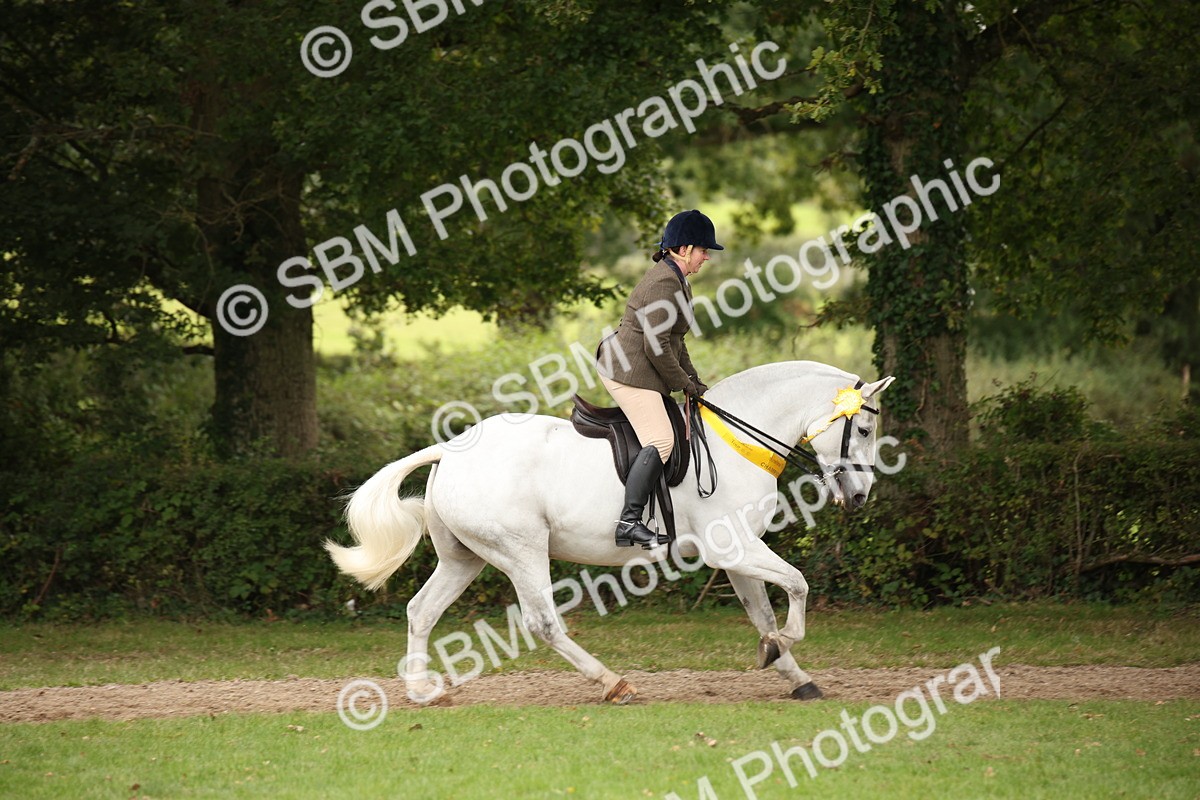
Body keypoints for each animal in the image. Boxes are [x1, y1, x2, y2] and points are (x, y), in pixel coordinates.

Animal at [325, 360, 895, 704]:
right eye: (865, 429)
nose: (859, 497)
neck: (736, 440)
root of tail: (451, 448)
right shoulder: (731, 549)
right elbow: (797, 584)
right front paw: (782, 647)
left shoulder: (739, 555)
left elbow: (763, 613)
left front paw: (790, 670)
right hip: (521, 551)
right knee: (543, 623)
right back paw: (612, 683)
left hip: (465, 558)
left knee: (421, 611)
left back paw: (421, 691)